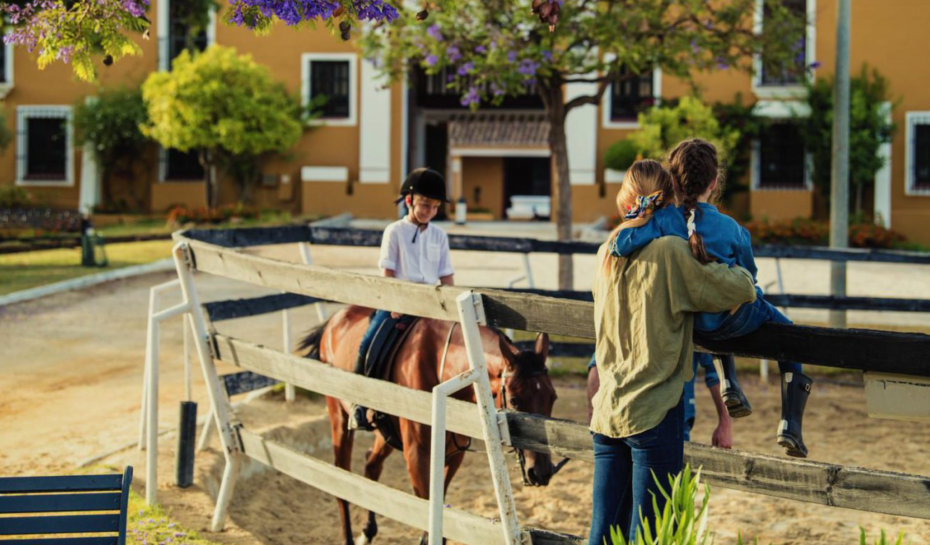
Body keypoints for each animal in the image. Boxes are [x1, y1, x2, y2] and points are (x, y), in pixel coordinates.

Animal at [300, 306, 556, 544]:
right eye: (514, 400)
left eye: (552, 398)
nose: (541, 471)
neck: (440, 363)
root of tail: (333, 321)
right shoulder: (417, 455)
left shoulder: (453, 455)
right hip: (338, 417)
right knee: (341, 478)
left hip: (386, 432)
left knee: (371, 464)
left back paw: (367, 532)